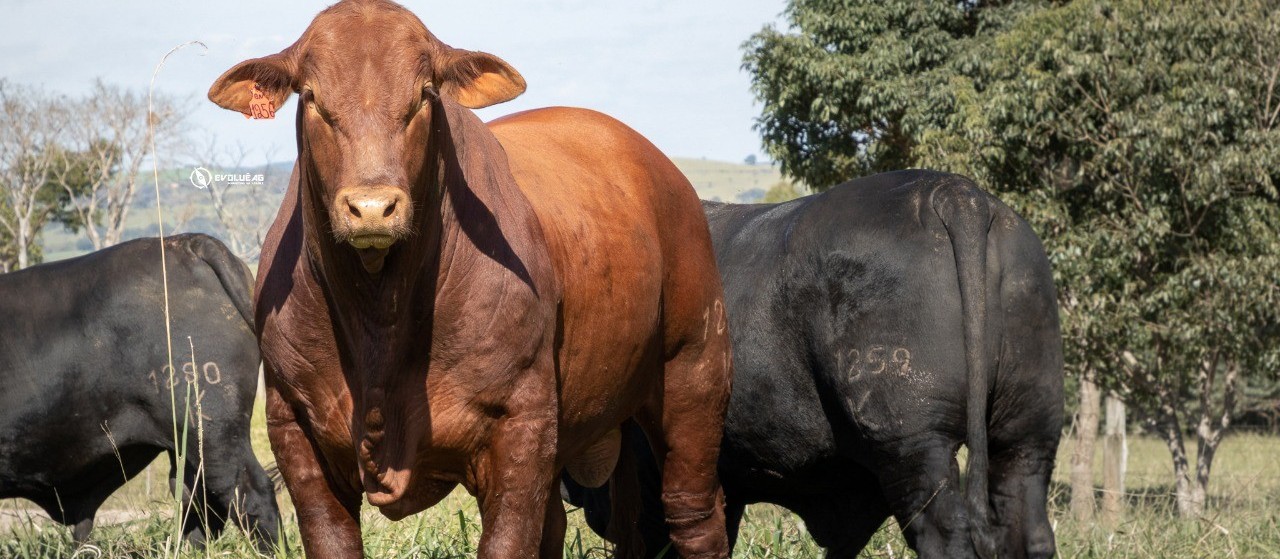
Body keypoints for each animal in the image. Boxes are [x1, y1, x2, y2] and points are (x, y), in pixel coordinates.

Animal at [207, 1, 732, 557]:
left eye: (423, 95)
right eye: (311, 97)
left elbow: (508, 540)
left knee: (694, 513)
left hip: (694, 374)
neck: (379, 315)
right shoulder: (293, 427)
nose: (372, 208)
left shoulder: (520, 426)